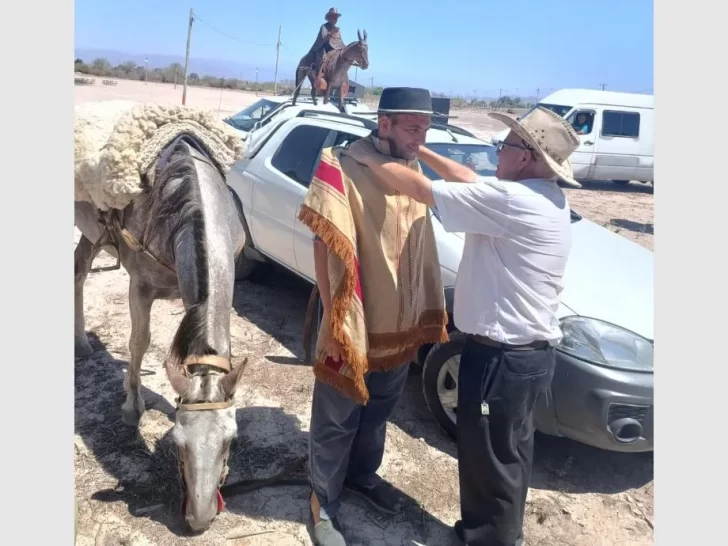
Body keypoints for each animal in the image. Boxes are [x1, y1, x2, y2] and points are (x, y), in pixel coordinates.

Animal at [75, 136, 249, 532]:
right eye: (178, 443)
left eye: (230, 440)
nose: (200, 518)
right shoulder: (139, 286)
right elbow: (139, 343)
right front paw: (132, 406)